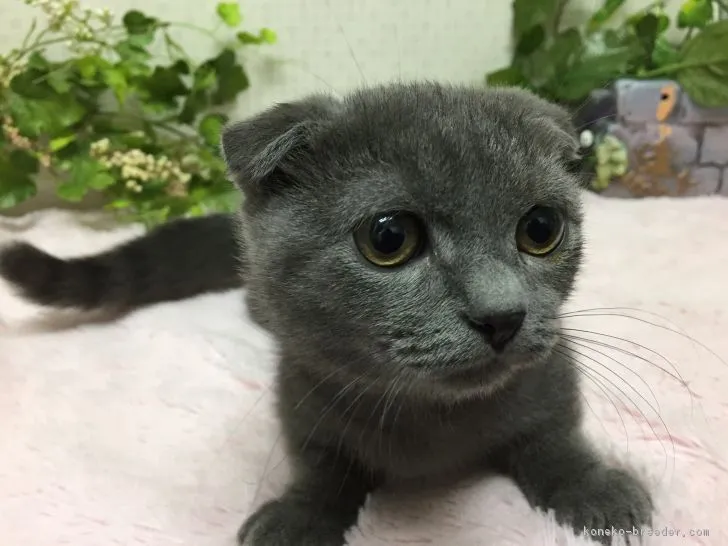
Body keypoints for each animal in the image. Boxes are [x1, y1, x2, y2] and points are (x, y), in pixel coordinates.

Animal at [0, 82, 648, 544]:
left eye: (541, 229)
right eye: (389, 238)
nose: (502, 314)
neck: (433, 423)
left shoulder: (554, 376)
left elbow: (554, 440)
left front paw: (600, 493)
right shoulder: (302, 393)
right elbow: (322, 465)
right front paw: (296, 518)